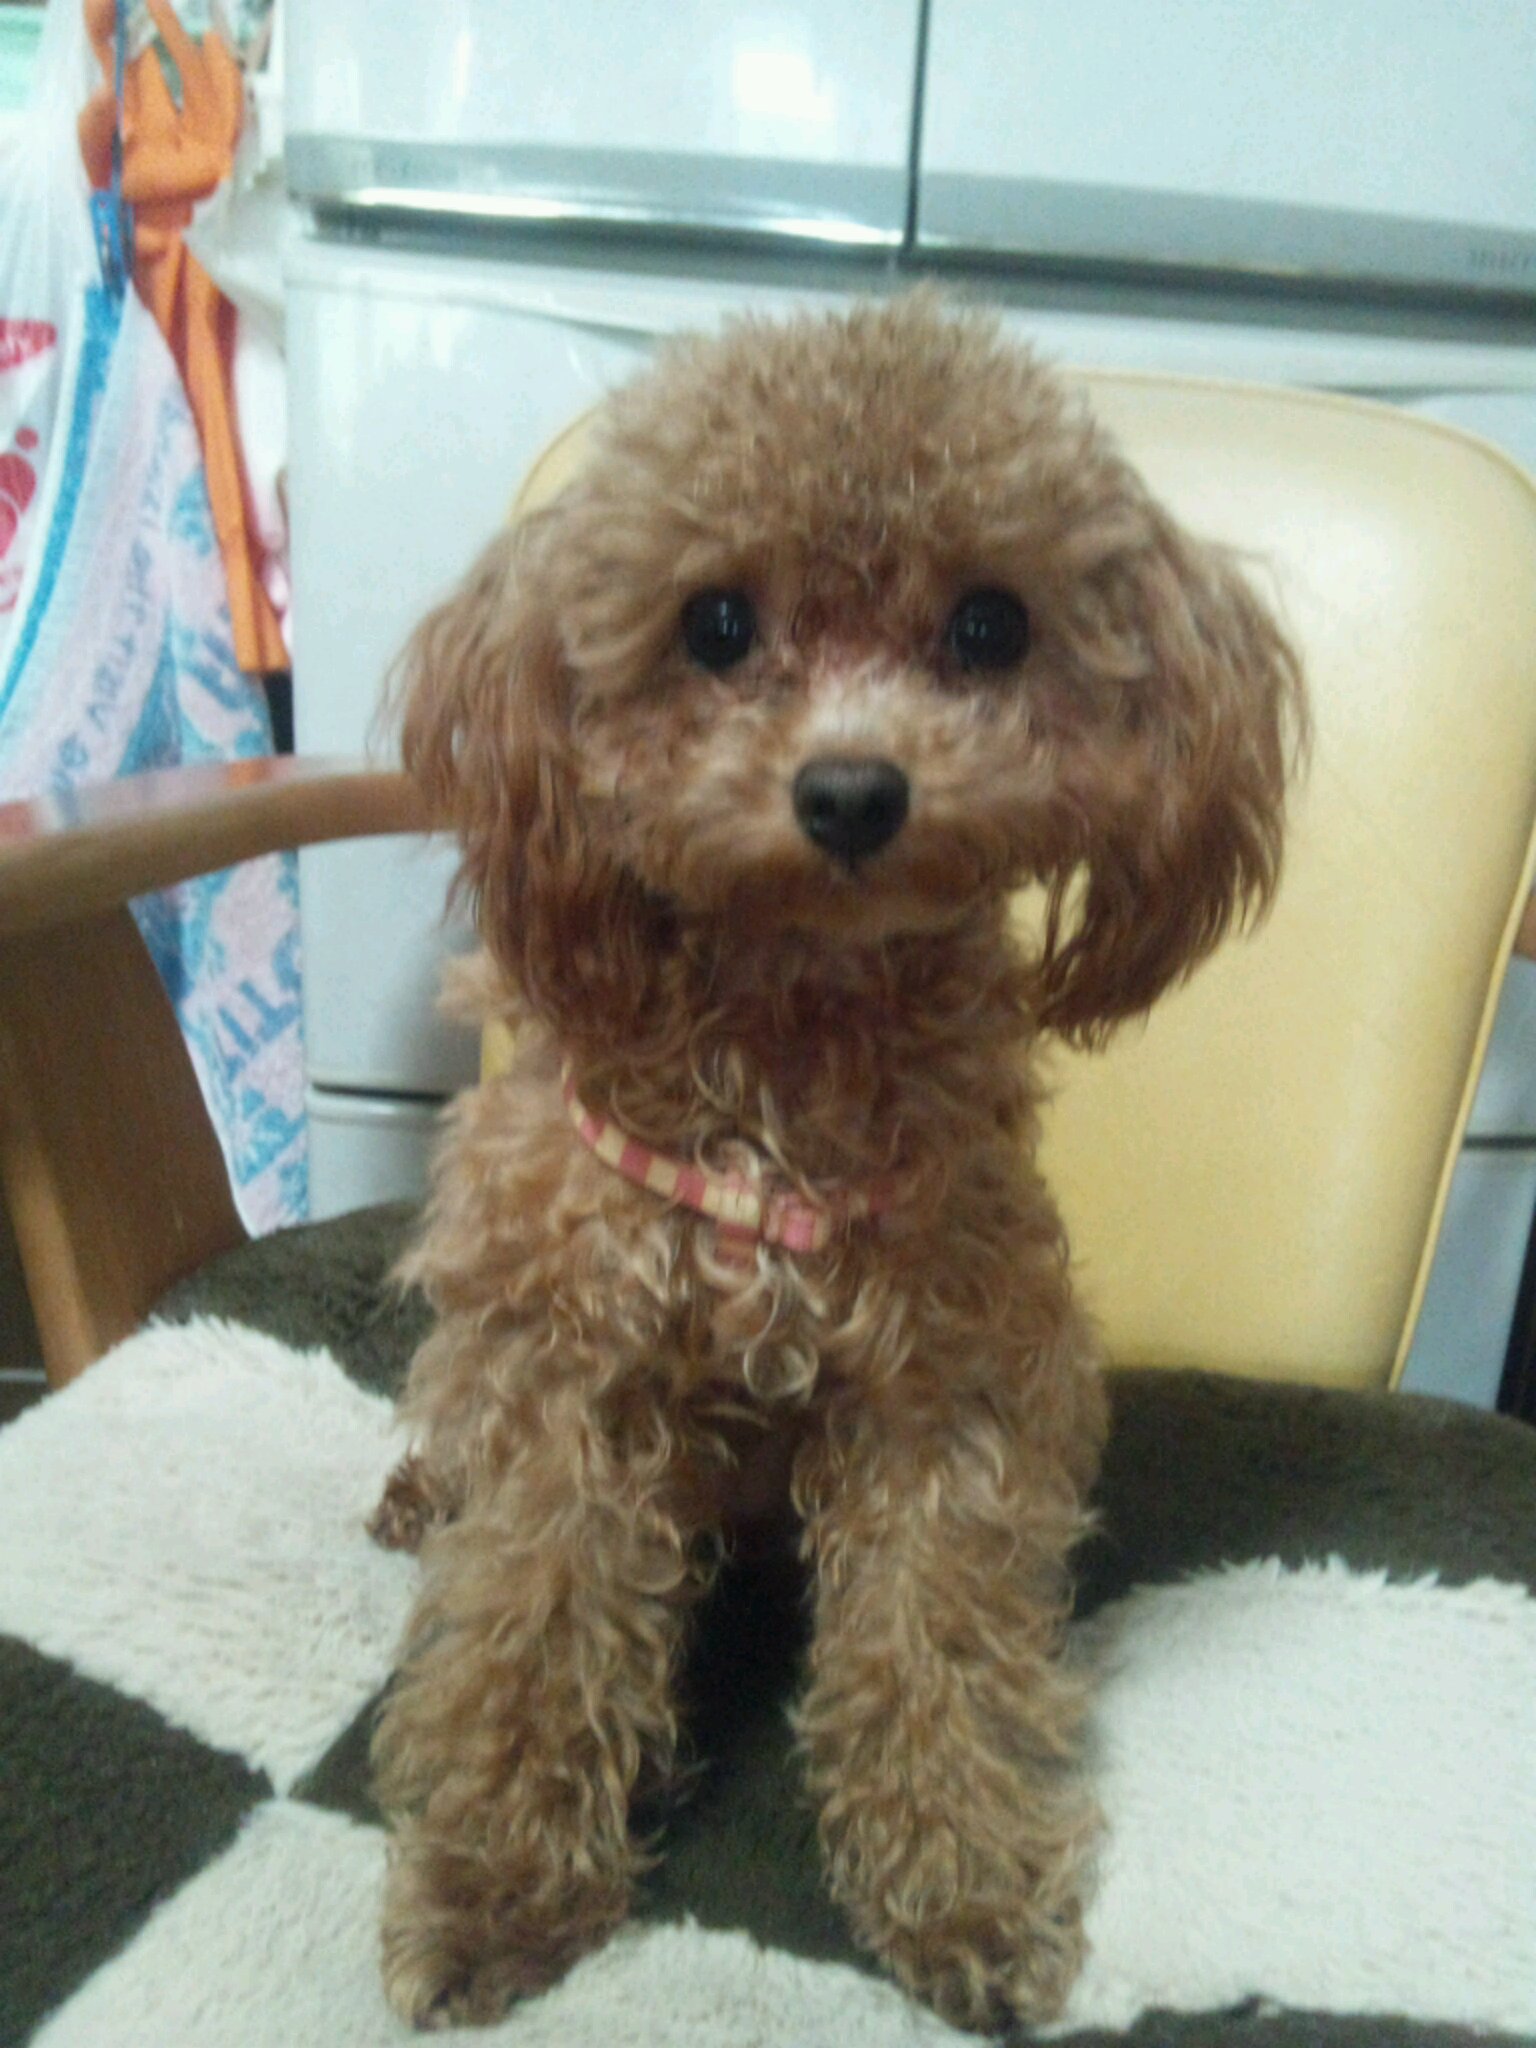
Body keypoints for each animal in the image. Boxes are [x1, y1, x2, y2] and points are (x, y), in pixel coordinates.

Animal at [369, 294, 1305, 2033]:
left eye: (992, 627)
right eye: (717, 624)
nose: (855, 791)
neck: (791, 1048)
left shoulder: (952, 1386)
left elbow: (936, 1638)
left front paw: (964, 1884)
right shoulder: (569, 1371)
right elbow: (533, 1626)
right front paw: (490, 1892)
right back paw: (414, 1492)